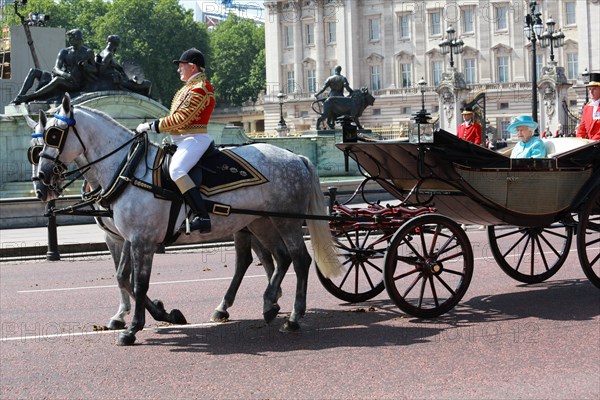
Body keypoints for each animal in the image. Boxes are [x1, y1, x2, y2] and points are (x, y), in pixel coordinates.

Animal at [35, 94, 342, 346]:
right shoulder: (126, 237)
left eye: (53, 135)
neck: (127, 169)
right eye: (36, 144)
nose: (41, 182)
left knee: (299, 259)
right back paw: (267, 304)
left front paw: (134, 327)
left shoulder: (142, 239)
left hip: (286, 221)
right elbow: (124, 277)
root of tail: (295, 155)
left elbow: (138, 282)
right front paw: (158, 313)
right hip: (260, 222)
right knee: (277, 258)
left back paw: (293, 317)